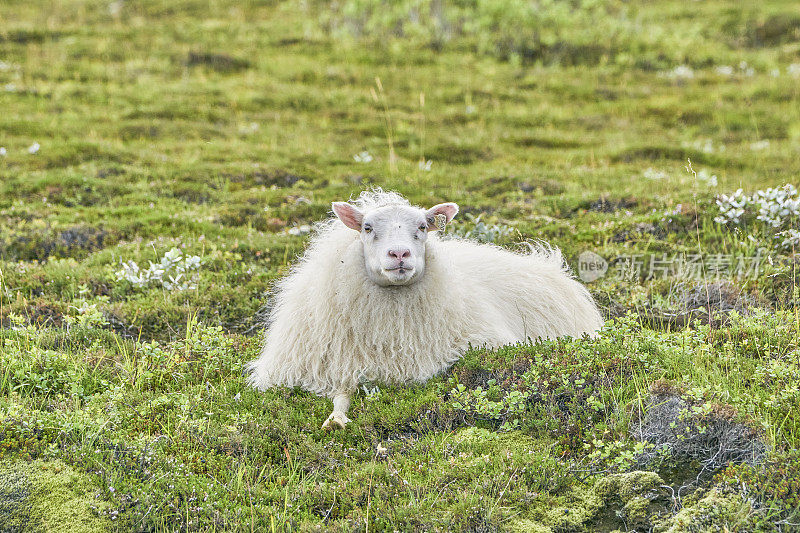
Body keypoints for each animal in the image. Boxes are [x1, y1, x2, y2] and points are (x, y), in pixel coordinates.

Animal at [247, 189, 604, 430]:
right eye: (367, 228)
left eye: (421, 227)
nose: (399, 254)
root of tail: (550, 265)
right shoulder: (335, 364)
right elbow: (341, 393)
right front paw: (336, 418)